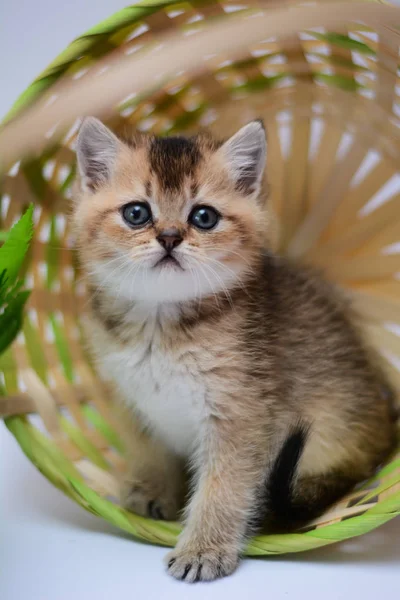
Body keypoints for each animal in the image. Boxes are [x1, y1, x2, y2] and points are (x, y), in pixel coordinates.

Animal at [72, 116, 396, 580]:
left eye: (203, 217)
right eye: (136, 213)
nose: (169, 237)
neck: (160, 329)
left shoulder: (239, 417)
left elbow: (222, 488)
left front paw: (203, 549)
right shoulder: (134, 401)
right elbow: (149, 451)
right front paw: (151, 492)